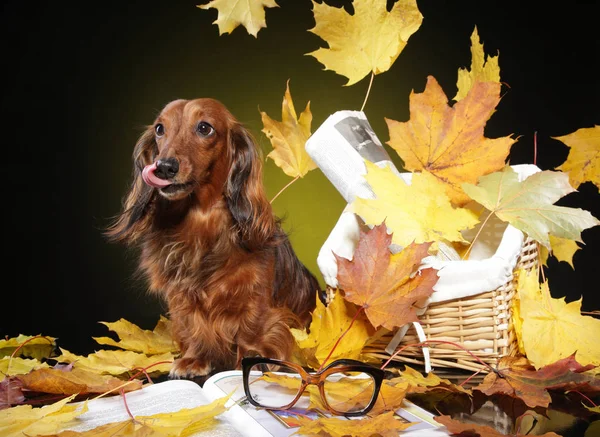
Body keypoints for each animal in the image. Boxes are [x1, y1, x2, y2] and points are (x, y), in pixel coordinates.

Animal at [108, 99, 324, 378]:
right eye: (159, 129)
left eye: (204, 128)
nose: (164, 167)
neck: (201, 224)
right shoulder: (182, 296)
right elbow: (194, 324)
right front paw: (195, 358)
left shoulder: (255, 295)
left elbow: (253, 326)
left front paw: (256, 357)